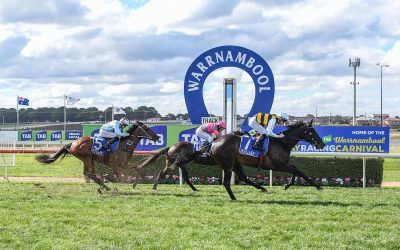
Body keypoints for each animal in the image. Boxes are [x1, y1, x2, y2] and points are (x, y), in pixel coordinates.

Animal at [138, 120, 324, 200]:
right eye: (312, 131)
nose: (321, 143)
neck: (281, 142)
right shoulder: (279, 164)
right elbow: (298, 171)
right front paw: (318, 186)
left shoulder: (282, 165)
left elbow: (296, 170)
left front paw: (287, 184)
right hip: (224, 163)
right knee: (164, 174)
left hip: (227, 162)